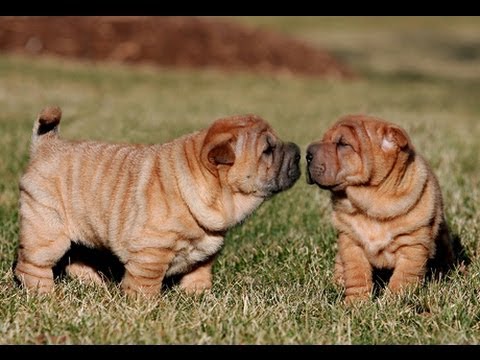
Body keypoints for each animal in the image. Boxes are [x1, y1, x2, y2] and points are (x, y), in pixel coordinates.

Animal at [14, 106, 300, 296]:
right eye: (267, 150)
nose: (297, 151)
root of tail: (46, 146)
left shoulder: (205, 251)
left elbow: (199, 273)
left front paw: (198, 297)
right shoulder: (151, 253)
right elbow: (146, 284)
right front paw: (147, 308)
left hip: (84, 231)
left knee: (78, 260)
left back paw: (95, 285)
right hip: (47, 230)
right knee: (31, 265)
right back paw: (44, 294)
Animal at [306, 114, 456, 302]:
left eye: (343, 144)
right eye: (324, 139)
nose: (307, 153)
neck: (372, 201)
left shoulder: (412, 246)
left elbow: (403, 278)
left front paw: (394, 301)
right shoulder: (350, 242)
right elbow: (356, 274)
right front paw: (355, 303)